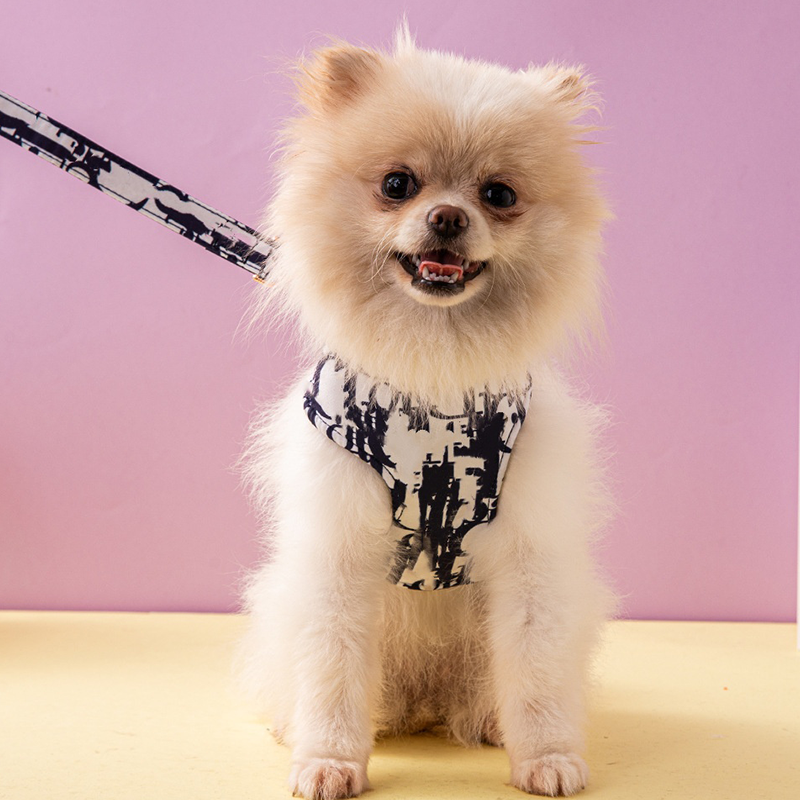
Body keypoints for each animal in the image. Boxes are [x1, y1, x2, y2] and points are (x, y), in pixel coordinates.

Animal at [238, 26, 613, 799]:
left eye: (499, 194)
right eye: (396, 185)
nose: (447, 215)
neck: (435, 367)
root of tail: (423, 700)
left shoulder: (532, 554)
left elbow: (536, 668)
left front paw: (547, 756)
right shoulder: (340, 551)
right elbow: (333, 667)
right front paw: (328, 760)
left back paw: (488, 719)